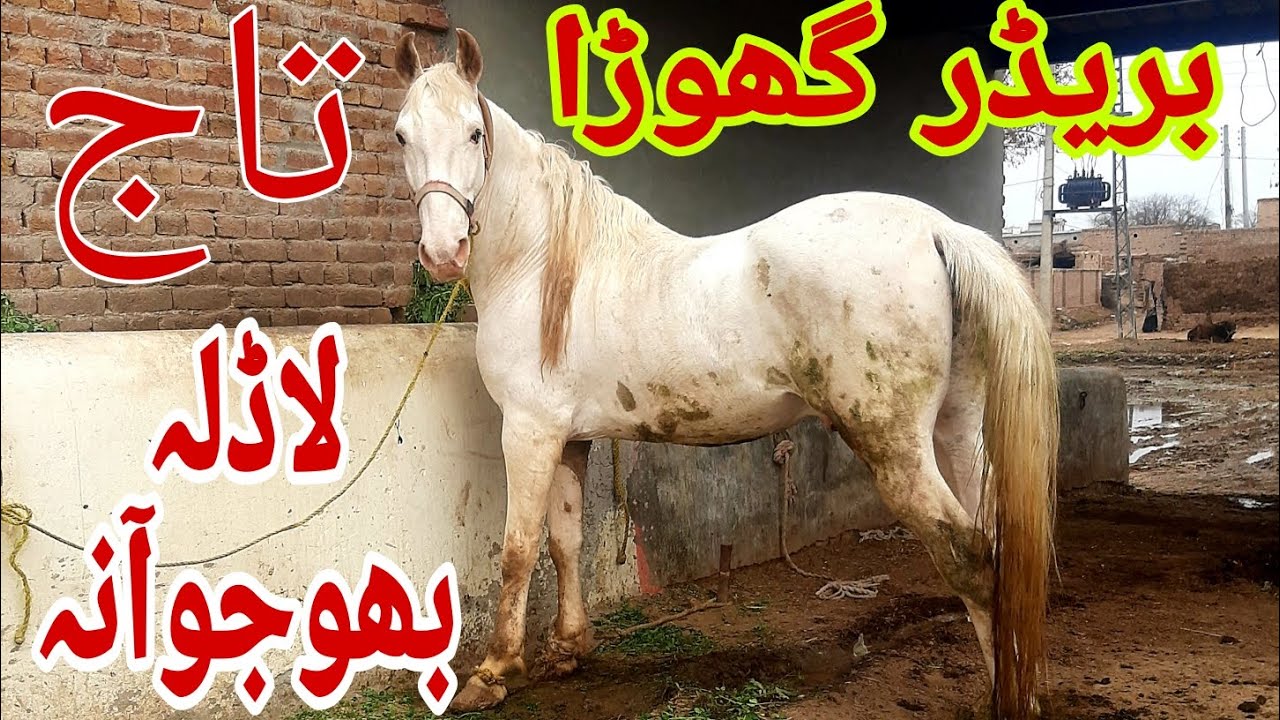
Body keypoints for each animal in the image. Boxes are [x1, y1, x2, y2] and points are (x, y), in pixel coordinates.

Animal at [393, 29, 1059, 720]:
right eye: (401, 136)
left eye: (475, 133)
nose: (442, 253)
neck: (542, 265)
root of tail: (937, 229)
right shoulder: (568, 439)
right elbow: (565, 541)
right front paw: (570, 648)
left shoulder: (527, 433)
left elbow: (519, 550)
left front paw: (493, 671)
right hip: (959, 431)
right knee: (998, 548)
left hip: (897, 449)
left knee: (969, 558)